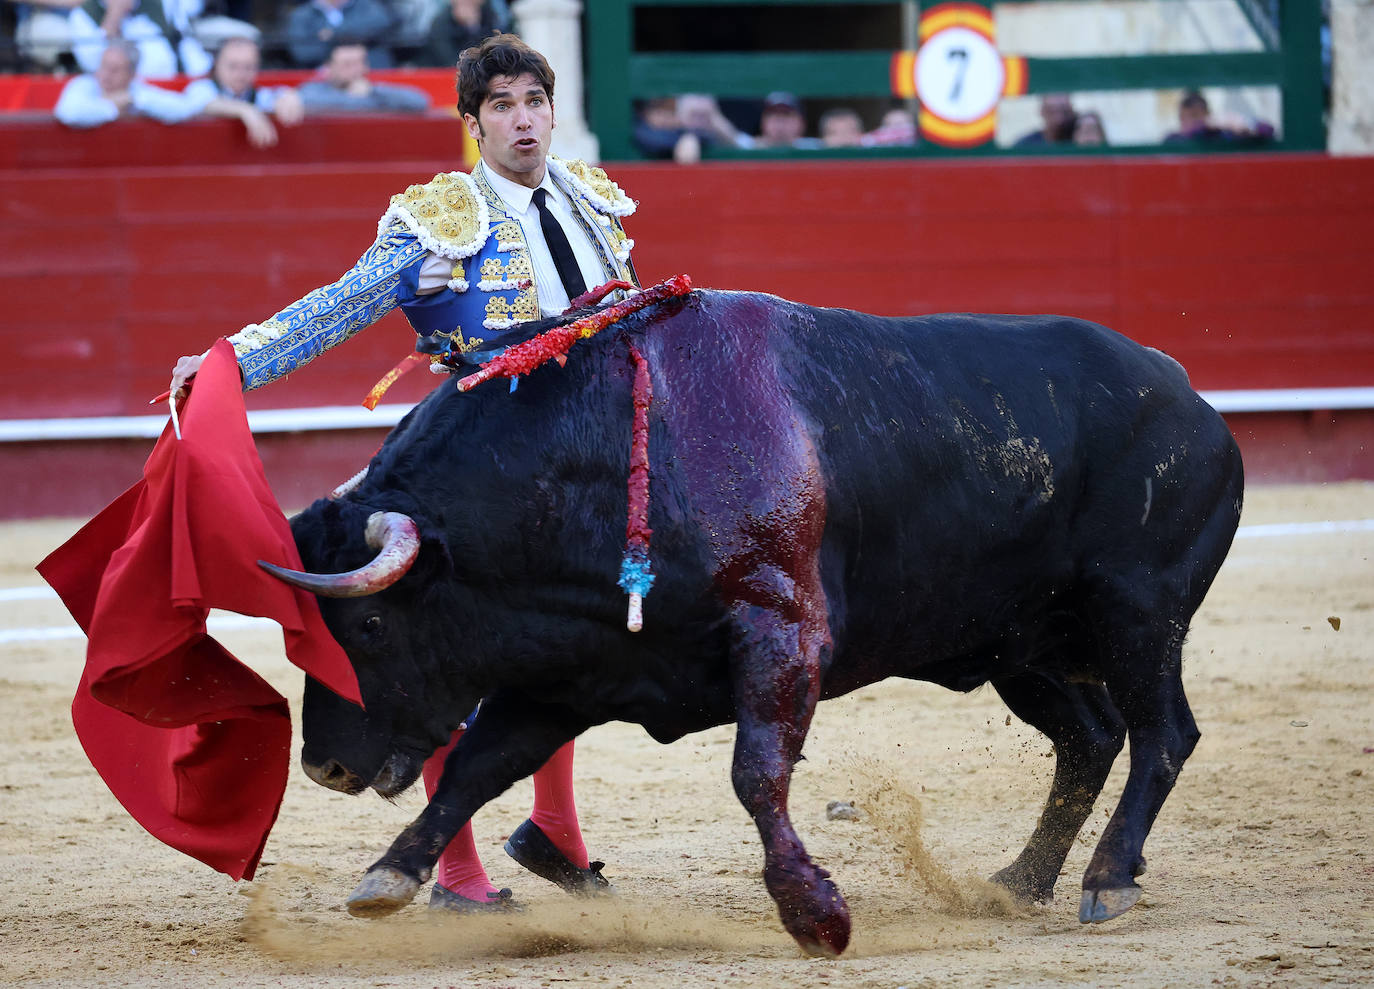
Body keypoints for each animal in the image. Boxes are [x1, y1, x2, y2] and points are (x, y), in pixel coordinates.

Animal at [273, 289, 1242, 956]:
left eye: (367, 627)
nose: (322, 765)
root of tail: (1188, 395)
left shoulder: (781, 631)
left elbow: (756, 771)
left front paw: (817, 914)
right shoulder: (568, 671)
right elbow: (477, 765)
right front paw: (388, 874)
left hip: (1139, 613)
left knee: (1163, 731)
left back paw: (1106, 879)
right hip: (1020, 644)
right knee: (1091, 736)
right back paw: (1020, 880)